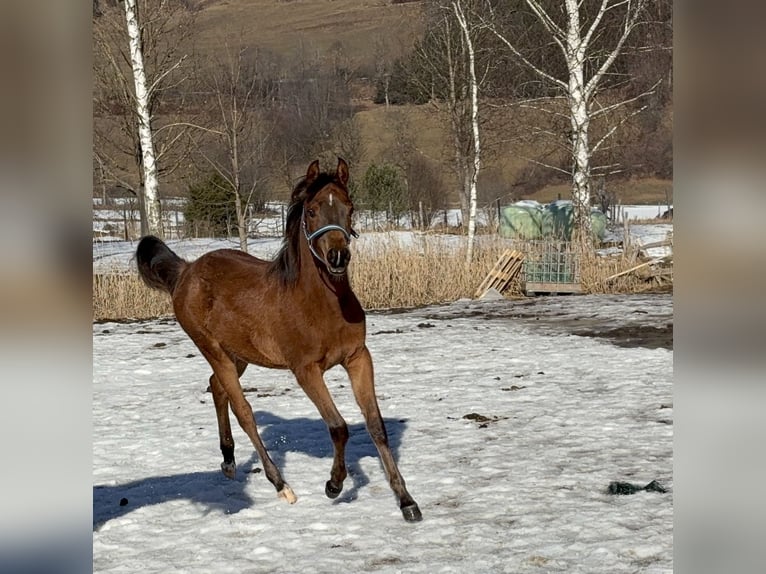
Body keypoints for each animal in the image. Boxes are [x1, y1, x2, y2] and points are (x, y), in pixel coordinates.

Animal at [138, 159, 426, 520]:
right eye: (313, 211)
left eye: (349, 207)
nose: (337, 257)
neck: (321, 305)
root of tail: (186, 271)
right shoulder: (305, 370)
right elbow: (338, 426)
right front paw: (334, 485)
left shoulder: (358, 357)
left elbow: (376, 426)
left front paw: (407, 502)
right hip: (213, 349)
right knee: (243, 410)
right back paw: (281, 485)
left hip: (239, 354)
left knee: (216, 388)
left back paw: (229, 461)